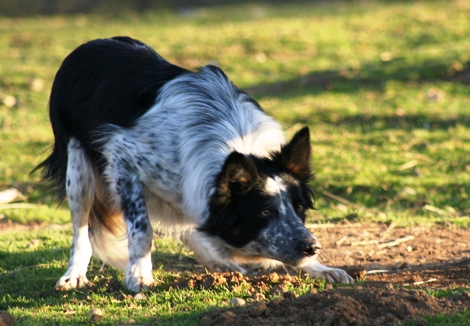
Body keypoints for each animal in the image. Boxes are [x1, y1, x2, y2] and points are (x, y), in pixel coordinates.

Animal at [35, 37, 352, 292]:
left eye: (299, 207)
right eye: (264, 211)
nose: (312, 247)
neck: (236, 143)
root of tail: (88, 46)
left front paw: (319, 268)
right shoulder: (124, 159)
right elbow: (142, 229)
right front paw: (139, 274)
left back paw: (218, 261)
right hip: (79, 171)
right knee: (81, 228)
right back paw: (74, 274)